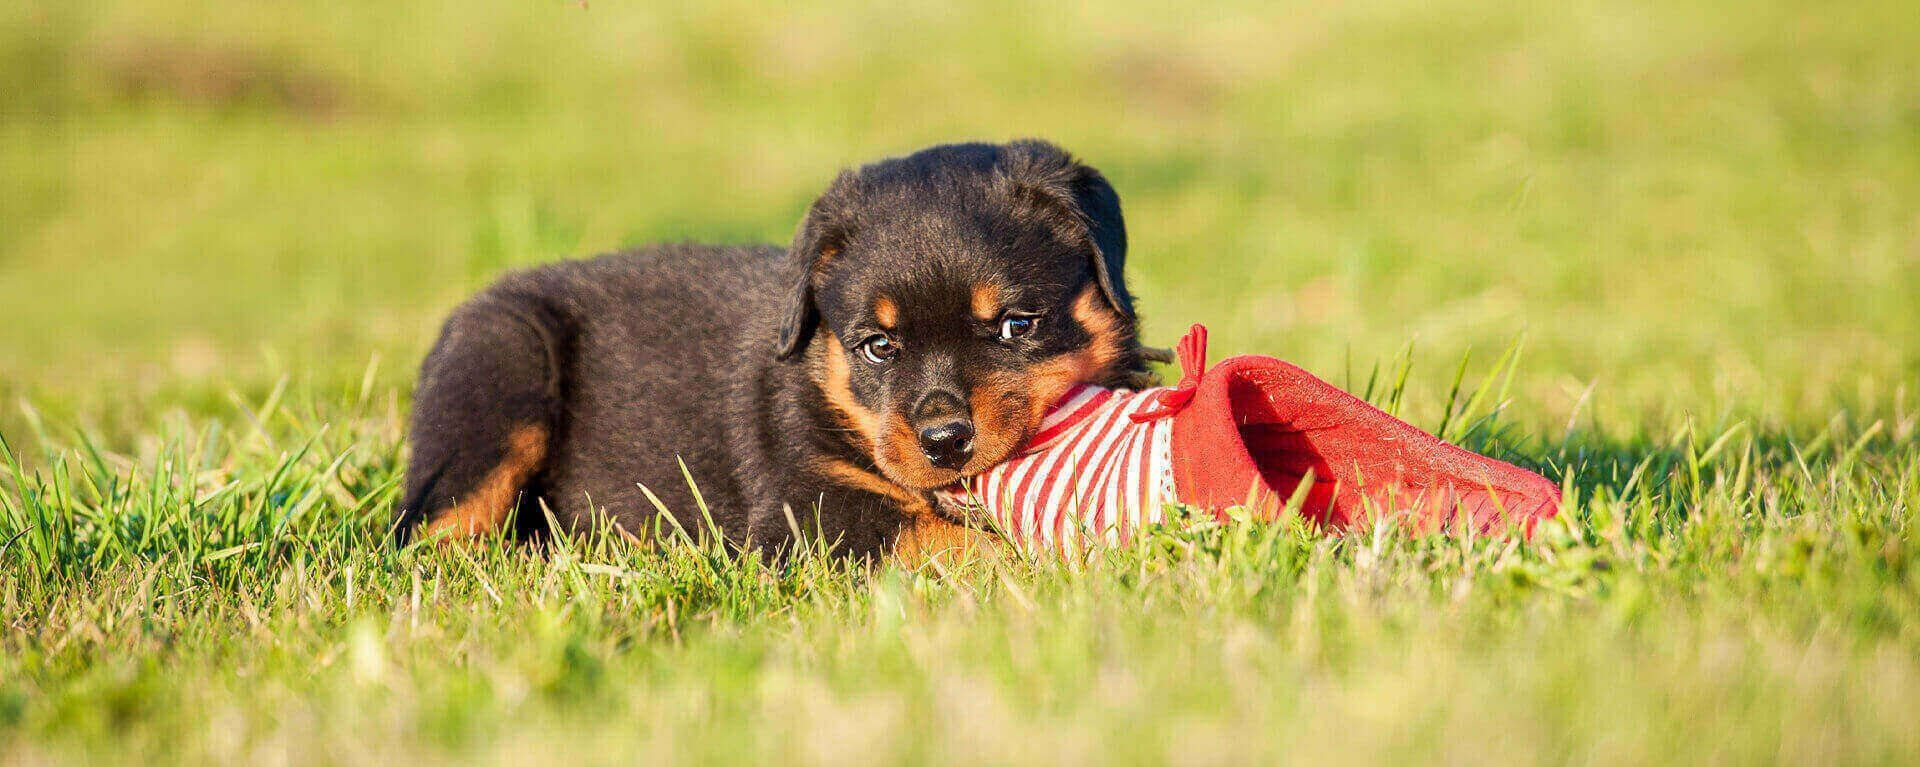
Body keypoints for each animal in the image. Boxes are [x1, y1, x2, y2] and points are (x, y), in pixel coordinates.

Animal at [393, 139, 1152, 557]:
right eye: (879, 346)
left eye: (1017, 326)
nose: (944, 440)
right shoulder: (807, 506)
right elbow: (945, 541)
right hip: (503, 365)